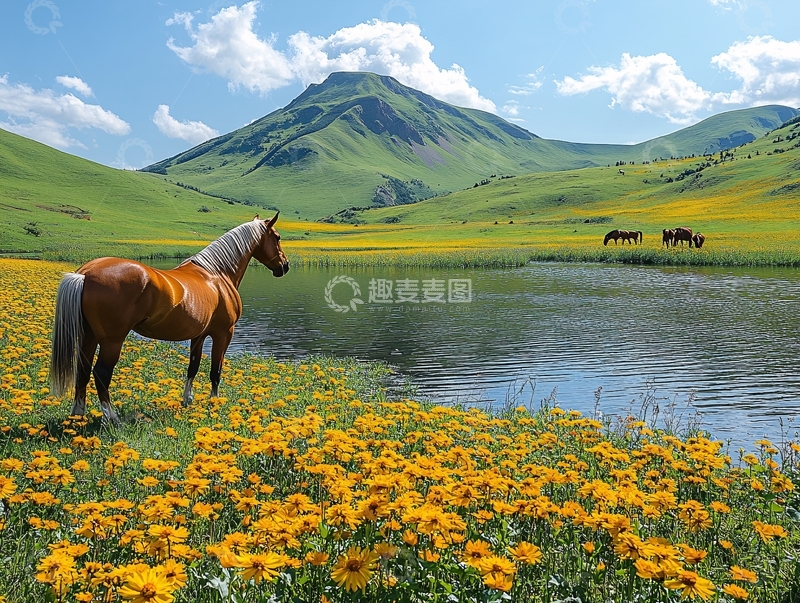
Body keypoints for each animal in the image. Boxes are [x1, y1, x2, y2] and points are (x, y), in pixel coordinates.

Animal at [49, 214, 289, 424]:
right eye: (277, 237)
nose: (284, 266)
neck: (217, 274)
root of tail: (86, 273)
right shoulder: (223, 334)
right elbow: (215, 371)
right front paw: (214, 402)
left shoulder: (199, 336)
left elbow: (193, 367)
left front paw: (187, 400)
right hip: (111, 341)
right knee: (101, 373)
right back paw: (112, 418)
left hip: (89, 336)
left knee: (82, 370)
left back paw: (78, 415)